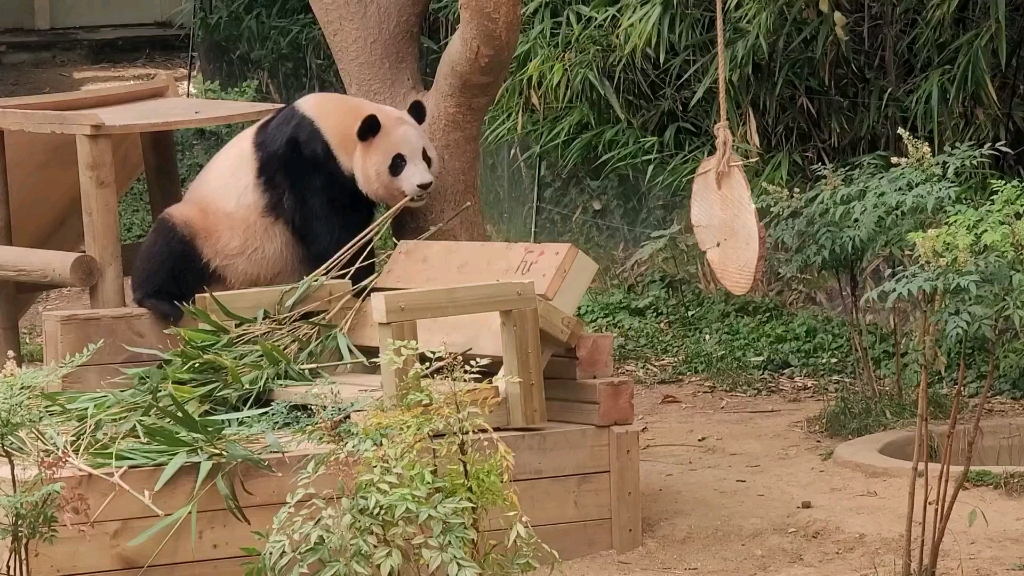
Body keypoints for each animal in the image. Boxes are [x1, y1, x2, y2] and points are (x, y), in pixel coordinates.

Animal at [128, 91, 436, 319]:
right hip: (208, 230)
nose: (424, 185)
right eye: (399, 161)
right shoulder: (305, 160)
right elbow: (329, 232)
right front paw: (357, 282)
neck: (338, 125)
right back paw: (159, 300)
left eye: (425, 156)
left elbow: (355, 228)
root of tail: (225, 288)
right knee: (168, 247)